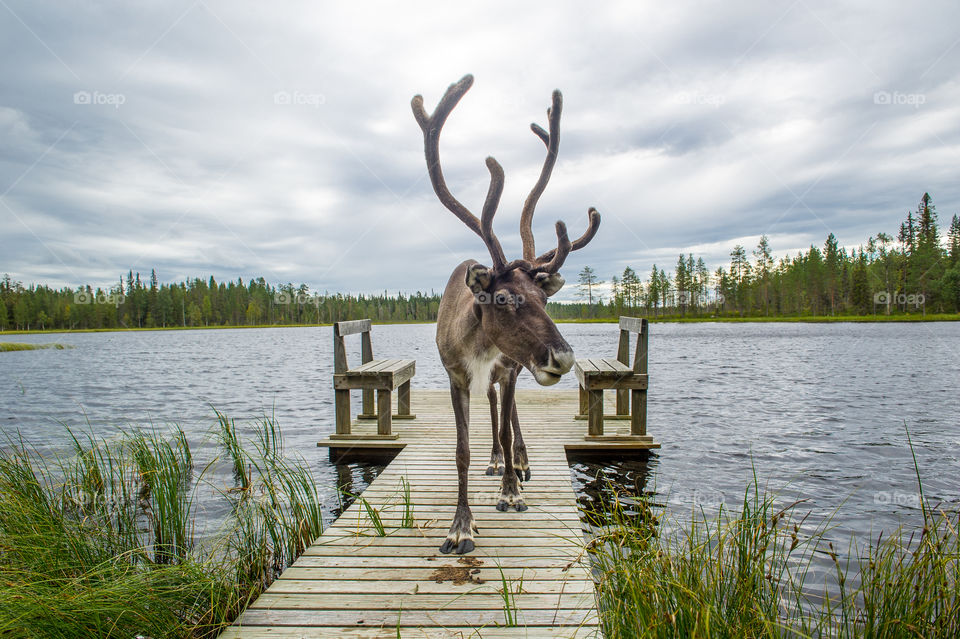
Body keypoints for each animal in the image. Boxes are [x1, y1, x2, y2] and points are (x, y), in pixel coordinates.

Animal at [412, 75, 601, 554]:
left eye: (543, 299)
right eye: (503, 298)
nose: (563, 357)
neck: (477, 345)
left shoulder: (512, 368)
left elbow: (505, 427)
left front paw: (512, 493)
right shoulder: (456, 376)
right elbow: (463, 450)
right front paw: (460, 526)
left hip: (515, 367)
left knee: (509, 421)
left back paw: (518, 464)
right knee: (496, 410)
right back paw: (499, 463)